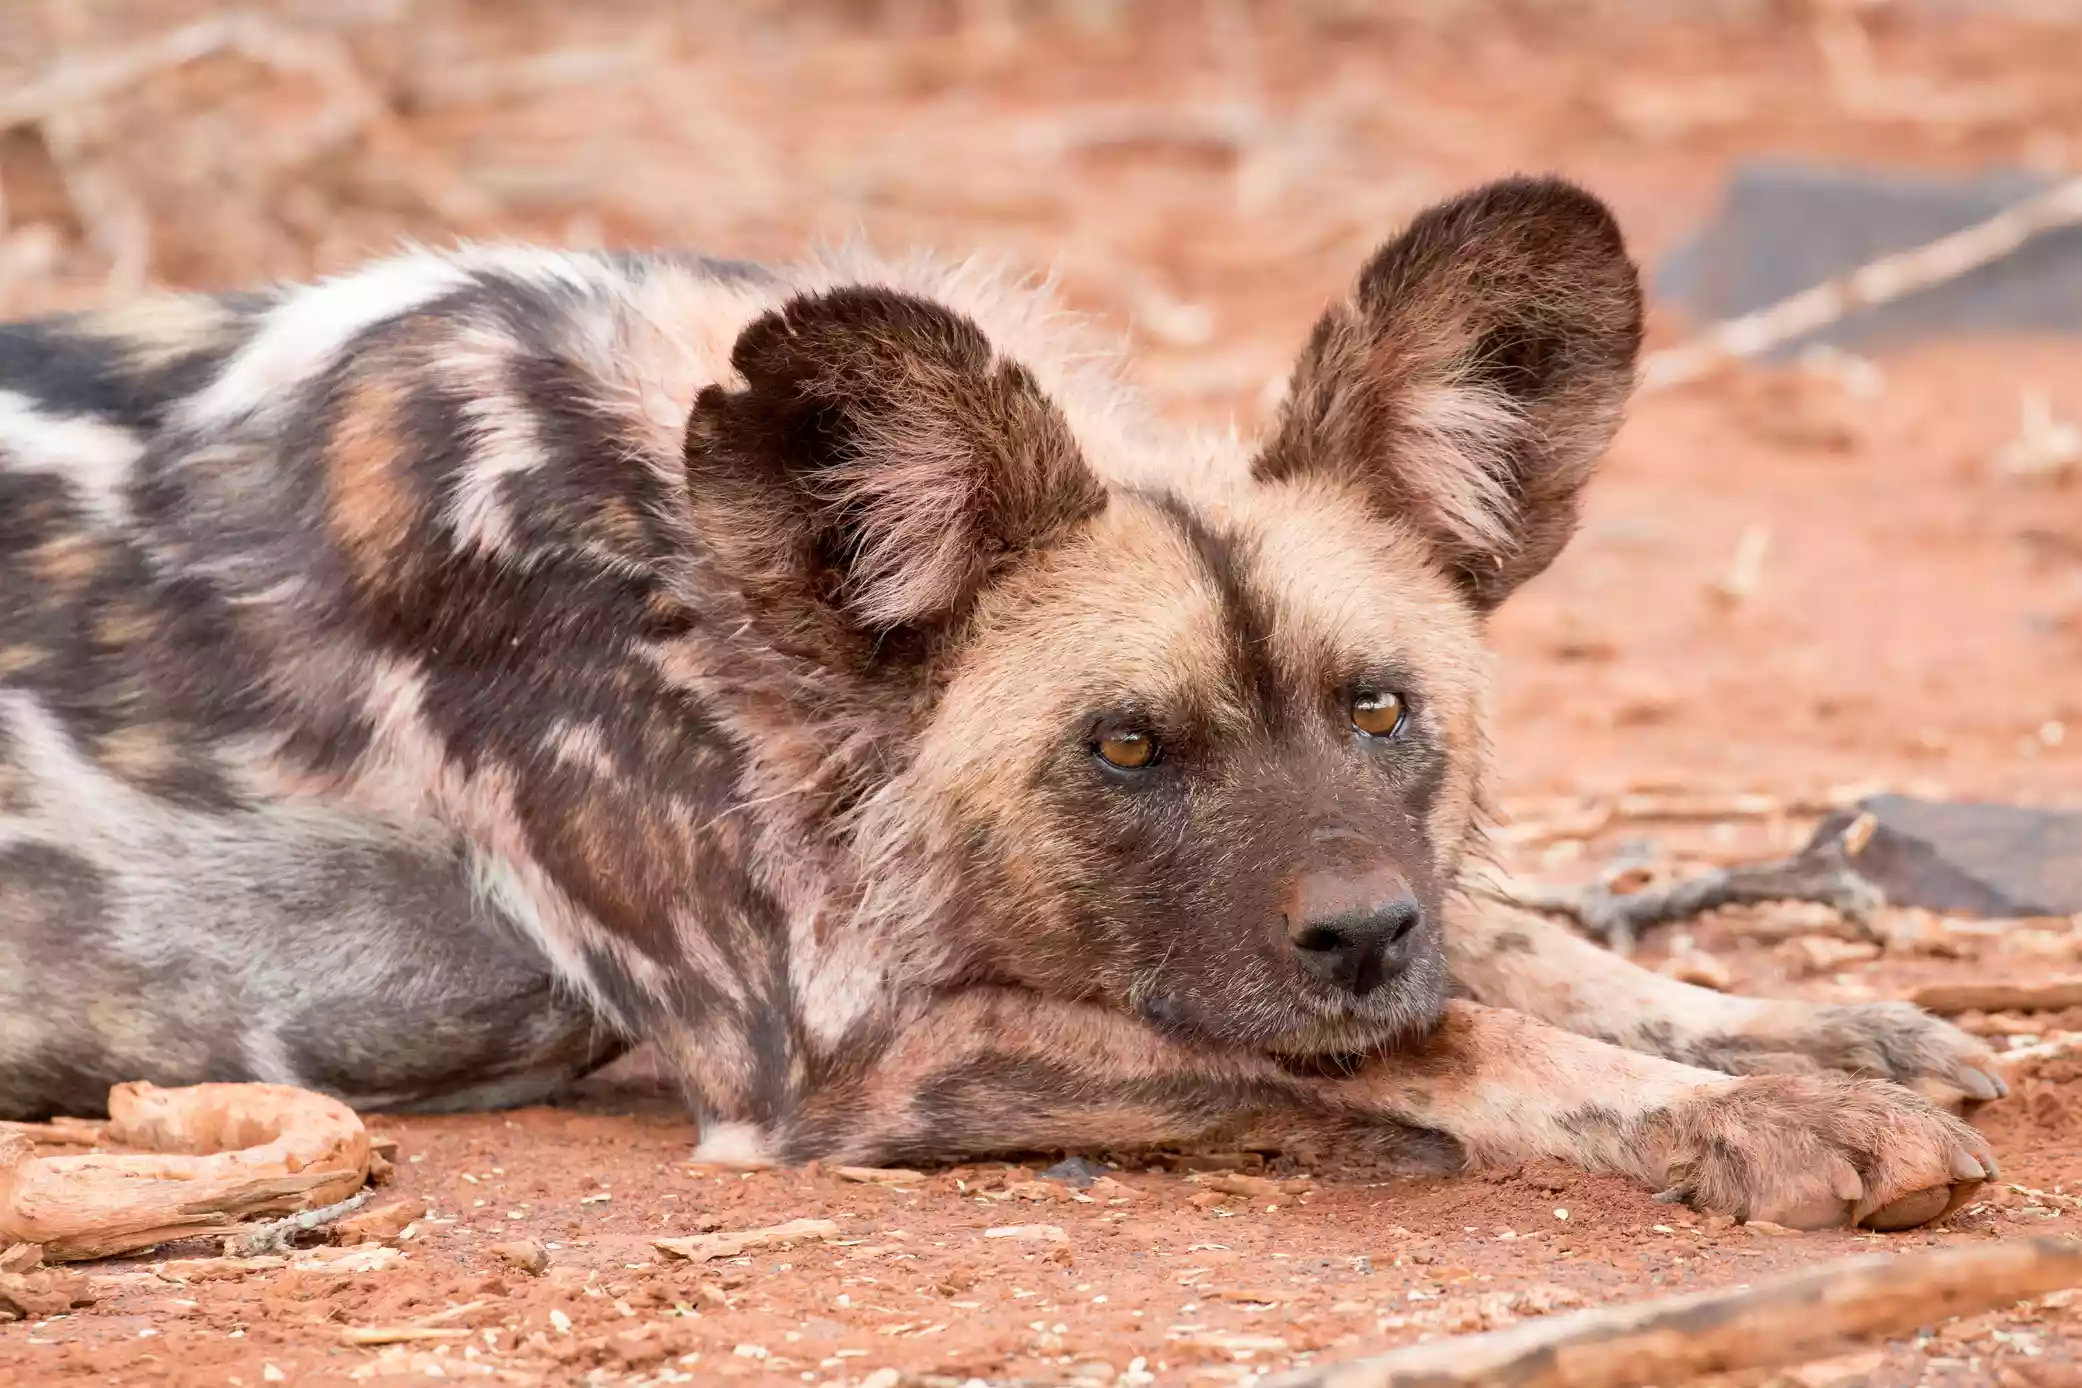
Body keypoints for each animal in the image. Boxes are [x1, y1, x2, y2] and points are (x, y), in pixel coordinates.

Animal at [4, 178, 2015, 1231]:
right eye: (1124, 745)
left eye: (1379, 709)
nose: (1359, 932)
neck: (691, 562)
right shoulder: (830, 1059)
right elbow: (1447, 1038)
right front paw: (1750, 1116)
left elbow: (1520, 950)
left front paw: (1799, 1029)